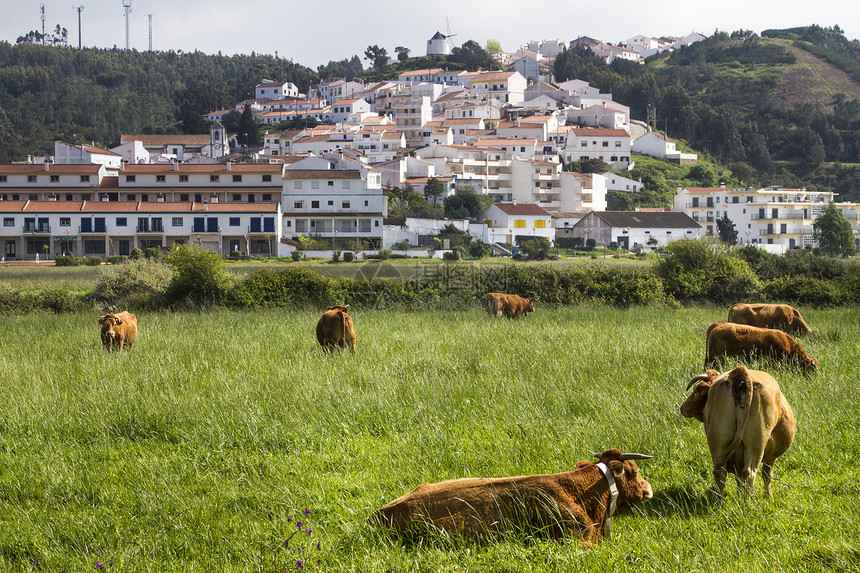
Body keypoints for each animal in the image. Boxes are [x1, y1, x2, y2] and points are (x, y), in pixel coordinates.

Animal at [680, 366, 796, 496]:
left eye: (696, 391)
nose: (682, 407)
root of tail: (739, 371)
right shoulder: (770, 457)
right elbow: (767, 476)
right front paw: (769, 497)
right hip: (756, 446)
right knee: (749, 474)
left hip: (718, 442)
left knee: (720, 473)